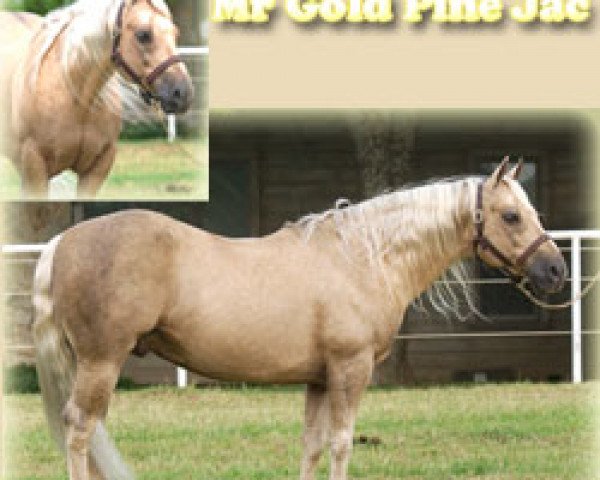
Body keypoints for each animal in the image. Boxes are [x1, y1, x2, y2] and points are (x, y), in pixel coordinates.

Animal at [0, 0, 192, 199]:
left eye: (175, 33)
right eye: (143, 35)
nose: (182, 93)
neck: (77, 97)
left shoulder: (97, 168)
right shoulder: (34, 167)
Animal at [32, 160, 568, 480]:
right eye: (511, 216)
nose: (556, 270)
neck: (361, 256)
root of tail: (64, 241)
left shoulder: (318, 378)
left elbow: (312, 444)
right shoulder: (350, 370)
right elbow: (342, 443)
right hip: (102, 361)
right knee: (80, 429)